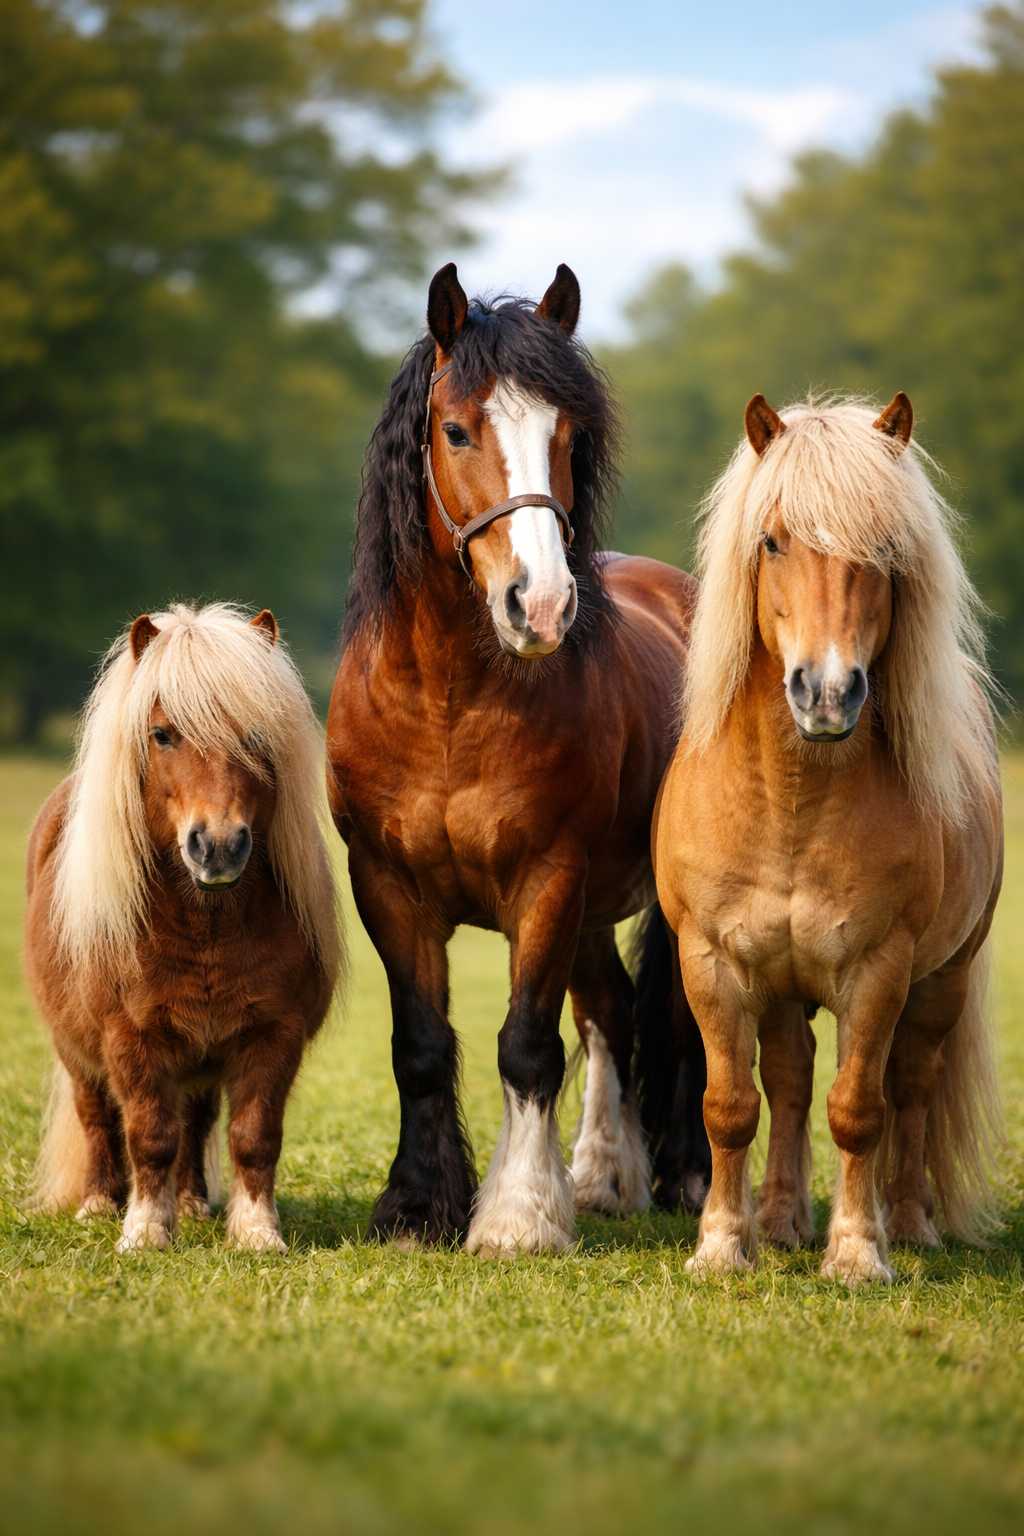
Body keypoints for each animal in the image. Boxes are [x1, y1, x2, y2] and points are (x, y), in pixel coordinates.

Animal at [26, 603, 342, 1253]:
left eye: (256, 736)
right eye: (163, 733)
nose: (217, 846)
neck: (206, 927)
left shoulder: (272, 1036)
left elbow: (253, 1136)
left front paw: (255, 1232)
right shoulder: (131, 1041)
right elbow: (148, 1136)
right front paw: (145, 1231)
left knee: (196, 1125)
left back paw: (194, 1204)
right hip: (76, 1050)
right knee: (97, 1118)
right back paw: (98, 1204)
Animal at [327, 262, 709, 1254]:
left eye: (567, 436)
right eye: (456, 429)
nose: (539, 605)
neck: (449, 706)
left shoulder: (548, 878)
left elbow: (527, 1043)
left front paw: (519, 1215)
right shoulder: (385, 884)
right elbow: (421, 1046)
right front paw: (419, 1206)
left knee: (677, 1018)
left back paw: (685, 1173)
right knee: (612, 1012)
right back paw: (607, 1175)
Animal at [651, 392, 1003, 1285]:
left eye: (884, 549)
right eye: (773, 540)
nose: (828, 692)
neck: (792, 804)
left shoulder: (878, 971)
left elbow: (858, 1110)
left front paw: (855, 1252)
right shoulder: (714, 963)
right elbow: (732, 1105)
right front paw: (721, 1245)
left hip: (940, 981)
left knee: (911, 1089)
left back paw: (906, 1224)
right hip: (782, 988)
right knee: (789, 1079)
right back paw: (778, 1222)